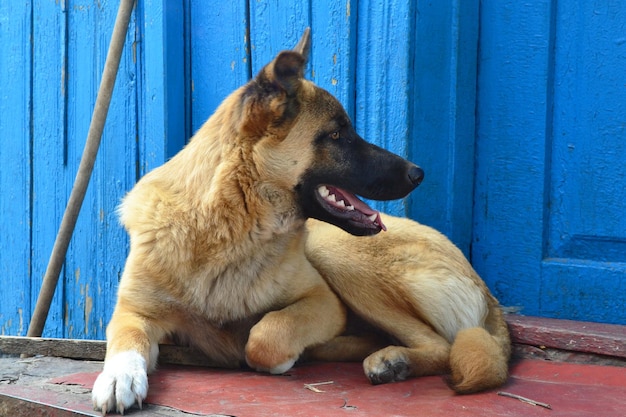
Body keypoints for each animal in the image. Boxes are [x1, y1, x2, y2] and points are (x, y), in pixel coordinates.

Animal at [91, 28, 424, 412]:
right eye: (336, 135)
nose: (418, 173)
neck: (226, 228)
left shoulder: (323, 300)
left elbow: (265, 335)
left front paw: (283, 356)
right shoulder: (134, 311)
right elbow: (126, 341)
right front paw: (119, 377)